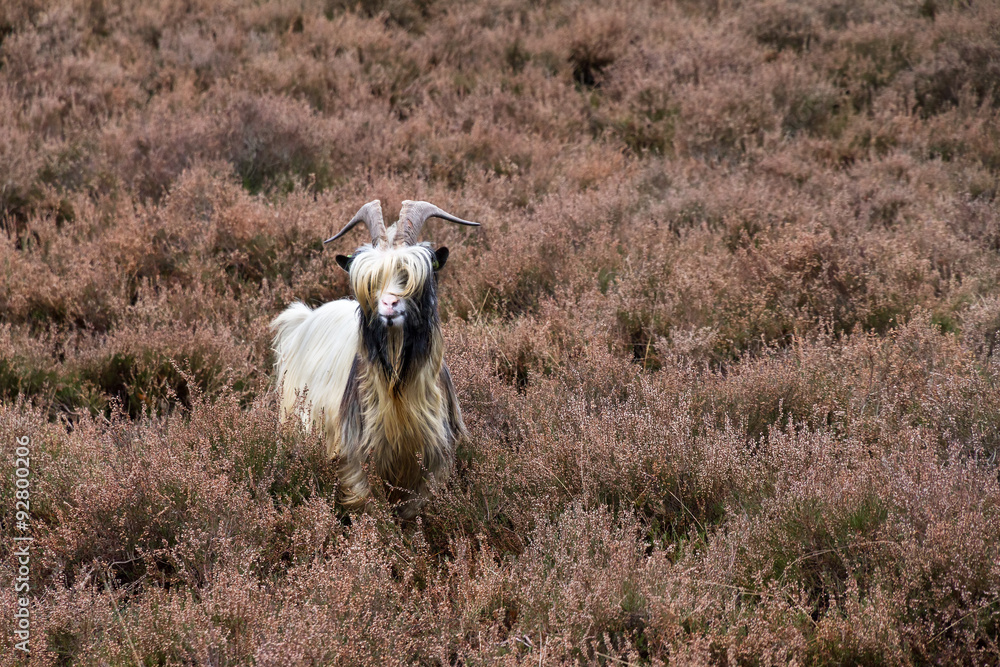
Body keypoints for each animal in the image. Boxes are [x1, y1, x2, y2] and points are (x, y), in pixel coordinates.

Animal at [271, 199, 478, 518]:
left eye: (409, 276)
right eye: (371, 281)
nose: (389, 304)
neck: (397, 391)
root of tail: (302, 320)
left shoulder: (434, 460)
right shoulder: (355, 459)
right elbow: (368, 507)